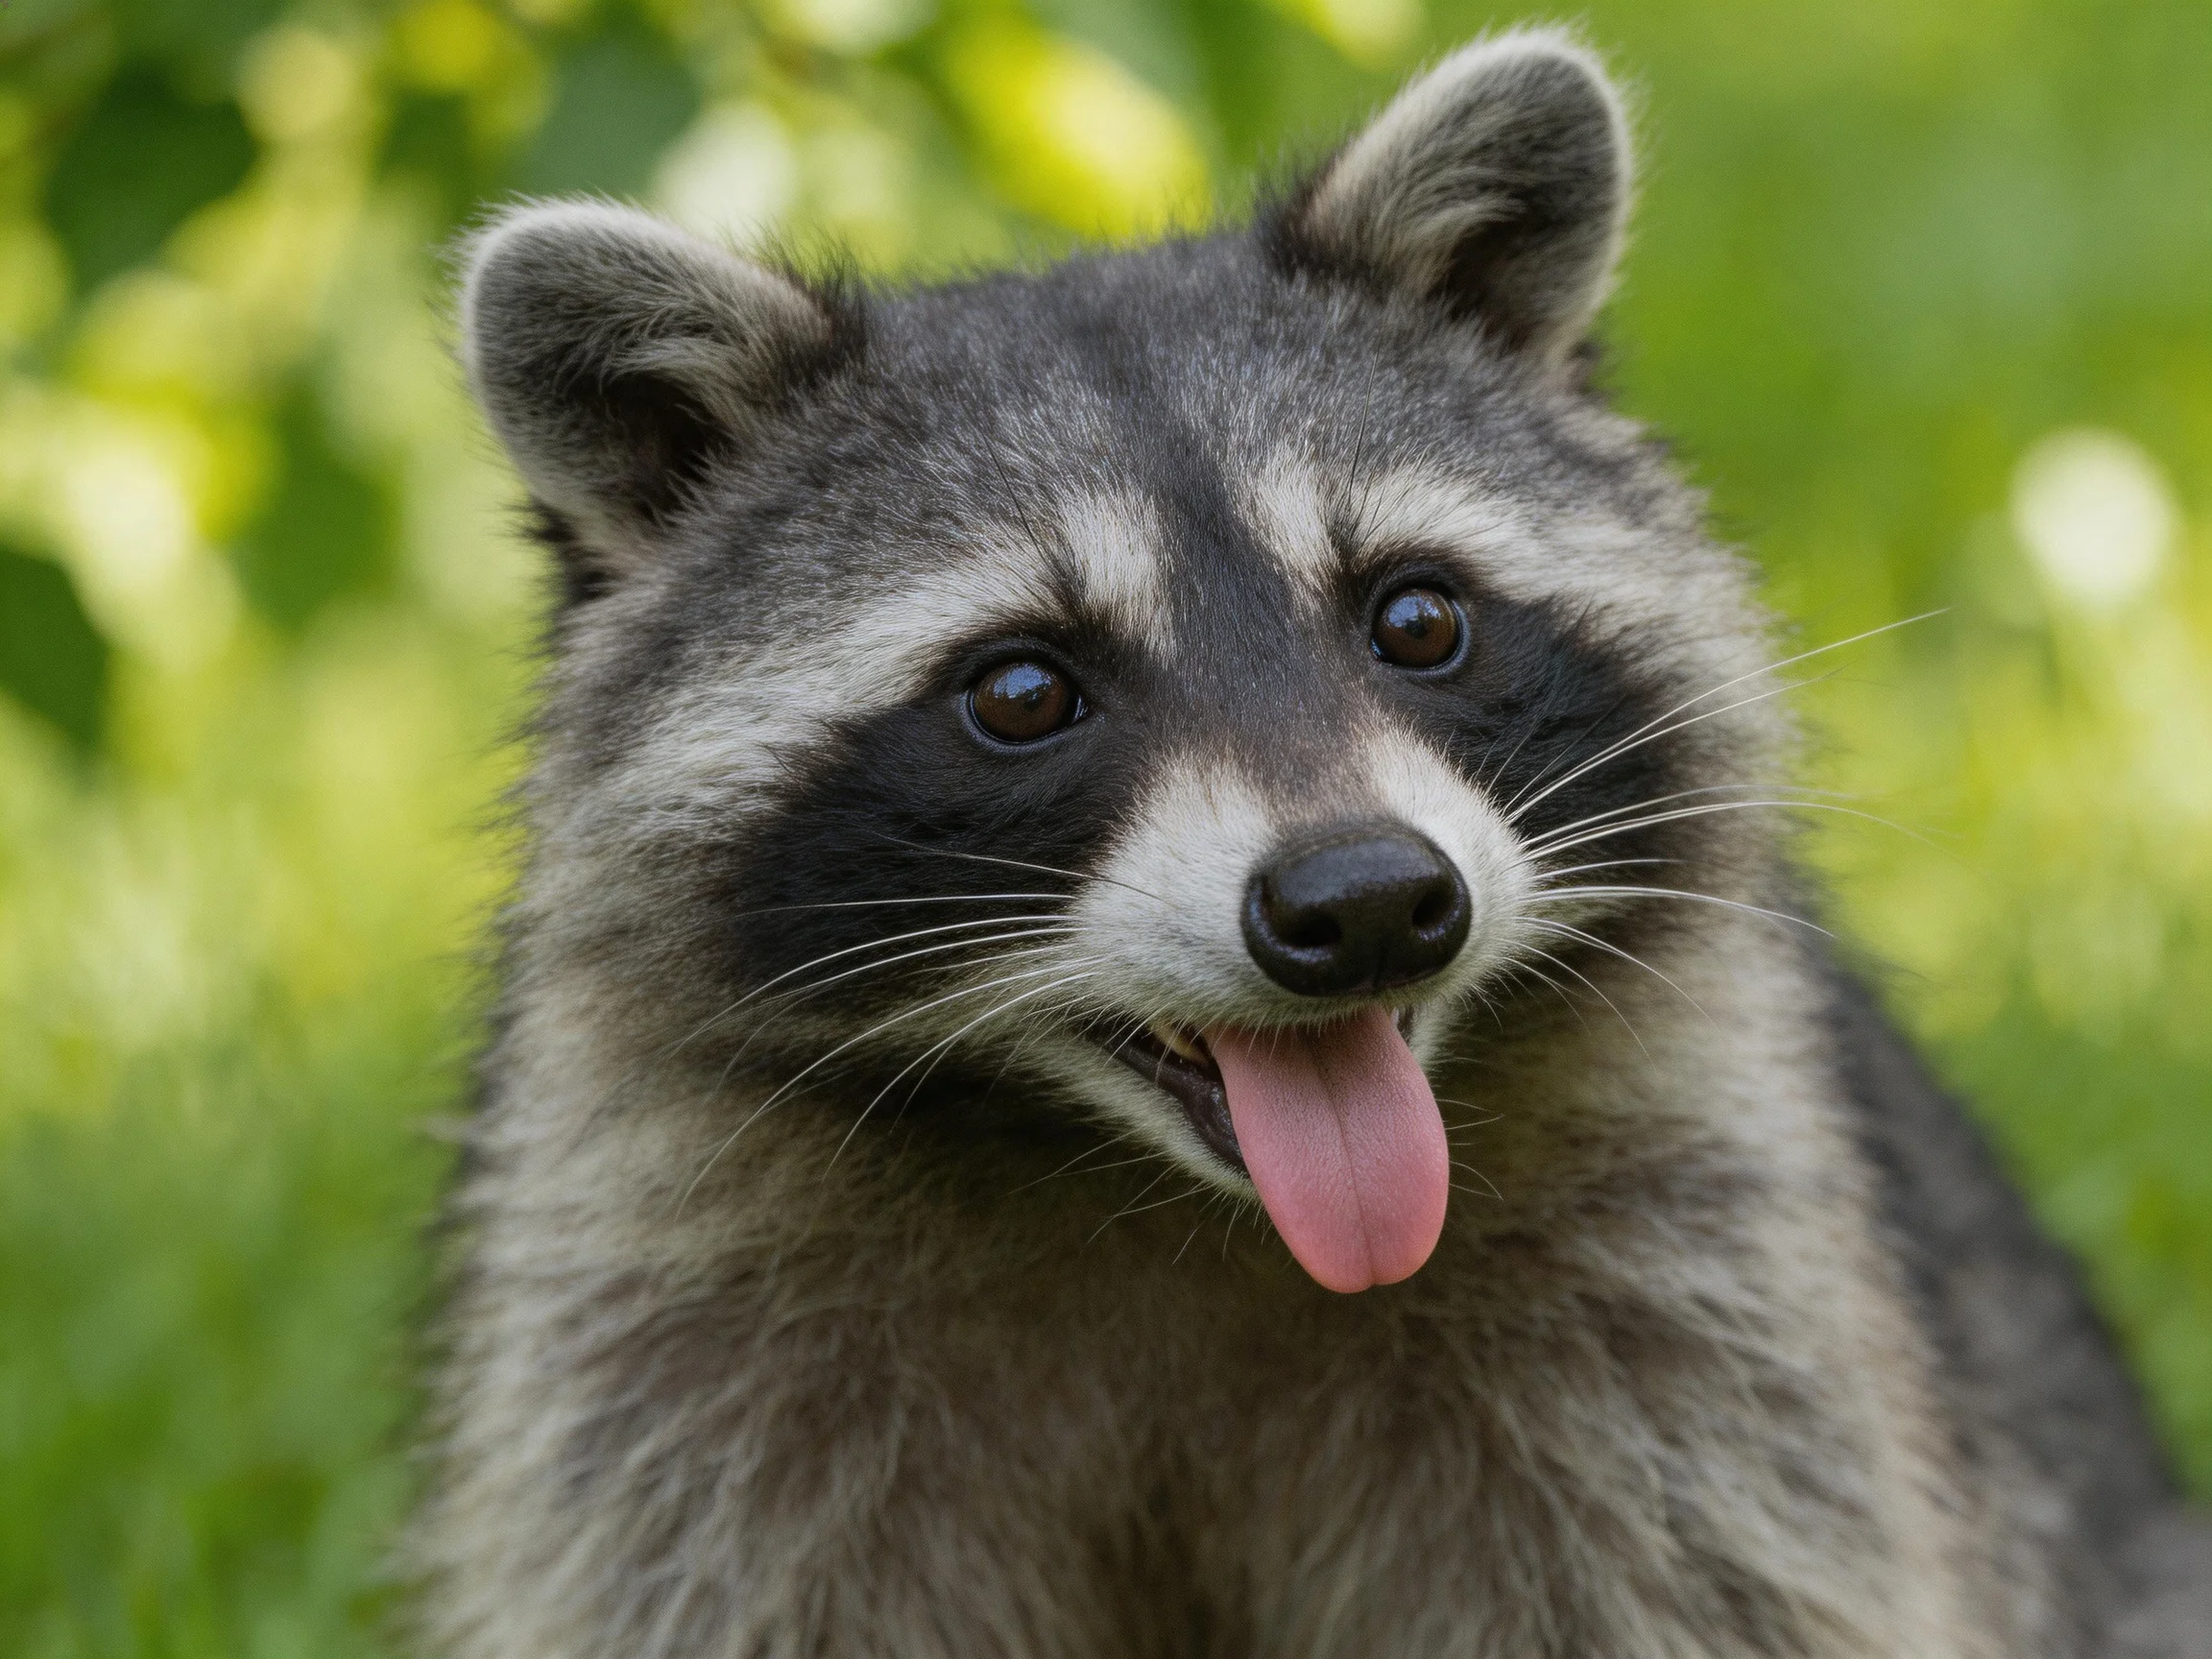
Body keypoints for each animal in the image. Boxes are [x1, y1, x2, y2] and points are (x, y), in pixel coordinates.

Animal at [418, 29, 2210, 1659]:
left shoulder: (1698, 1302)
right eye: (1021, 690)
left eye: (1416, 617)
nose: (1367, 906)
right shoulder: (677, 1336)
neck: (1162, 1193)